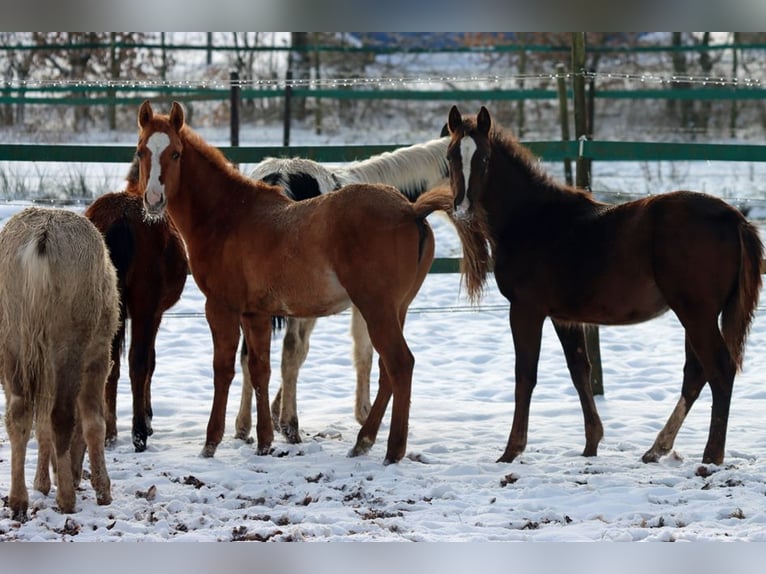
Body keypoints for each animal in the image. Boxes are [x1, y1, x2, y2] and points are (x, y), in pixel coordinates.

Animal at [0, 207, 119, 521]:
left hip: (12, 335)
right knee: (62, 415)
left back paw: (18, 500)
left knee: (18, 413)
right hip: (70, 339)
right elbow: (93, 422)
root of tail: (39, 241)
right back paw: (66, 498)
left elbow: (40, 424)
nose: (76, 476)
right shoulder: (99, 356)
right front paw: (103, 489)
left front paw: (42, 481)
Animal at [84, 159, 189, 452]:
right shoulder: (154, 314)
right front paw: (148, 417)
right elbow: (149, 361)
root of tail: (120, 218)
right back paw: (139, 432)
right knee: (138, 362)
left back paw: (109, 433)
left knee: (109, 364)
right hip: (143, 309)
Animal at [236, 136, 450, 444]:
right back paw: (291, 426)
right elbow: (363, 353)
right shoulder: (363, 306)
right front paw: (363, 413)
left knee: (249, 356)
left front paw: (275, 413)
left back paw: (243, 426)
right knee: (288, 353)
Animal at [446, 105, 763, 466]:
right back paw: (657, 448)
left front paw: (512, 450)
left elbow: (525, 375)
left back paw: (710, 456)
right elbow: (579, 371)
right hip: (698, 315)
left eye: (484, 158)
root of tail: (735, 218)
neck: (532, 219)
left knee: (719, 371)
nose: (463, 209)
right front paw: (591, 444)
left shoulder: (526, 310)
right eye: (451, 155)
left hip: (696, 314)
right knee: (696, 374)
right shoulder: (564, 317)